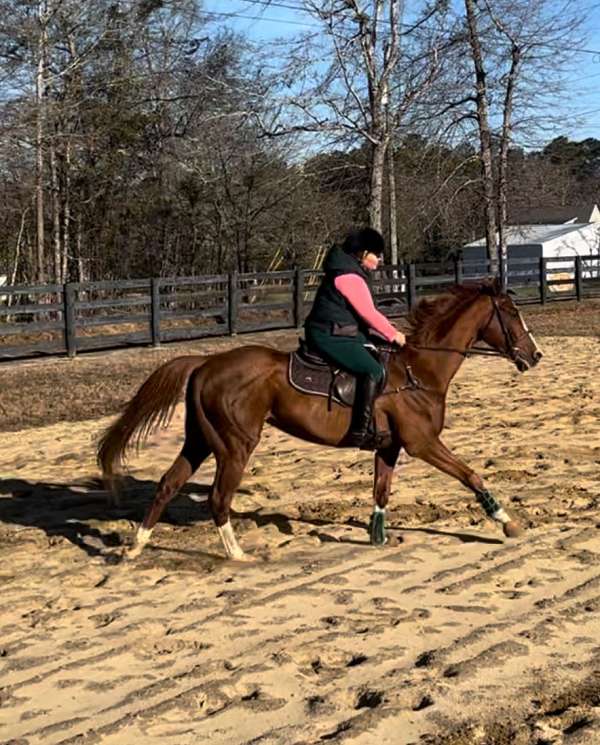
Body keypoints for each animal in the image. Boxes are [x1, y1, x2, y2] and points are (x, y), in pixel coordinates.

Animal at [98, 280, 544, 560]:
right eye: (511, 313)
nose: (535, 355)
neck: (420, 369)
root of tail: (205, 363)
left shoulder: (390, 447)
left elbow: (381, 492)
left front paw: (377, 536)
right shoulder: (423, 444)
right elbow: (471, 475)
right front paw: (507, 523)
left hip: (200, 440)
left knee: (168, 484)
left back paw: (135, 547)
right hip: (234, 445)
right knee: (218, 499)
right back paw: (238, 555)